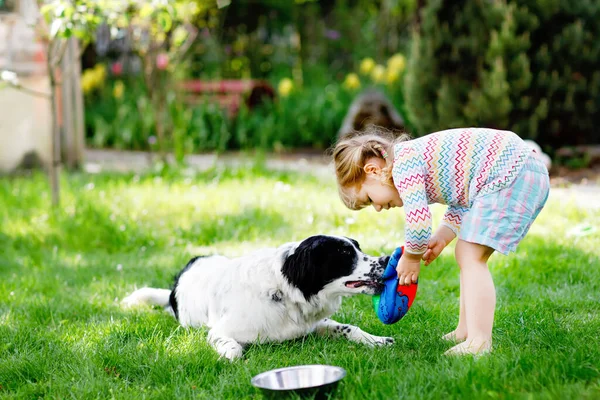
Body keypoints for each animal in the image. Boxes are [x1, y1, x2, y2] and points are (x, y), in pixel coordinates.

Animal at [122, 236, 394, 360]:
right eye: (345, 254)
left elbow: (350, 328)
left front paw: (376, 340)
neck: (283, 294)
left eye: (358, 247)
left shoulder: (313, 324)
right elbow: (231, 346)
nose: (386, 259)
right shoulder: (220, 331)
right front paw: (230, 356)